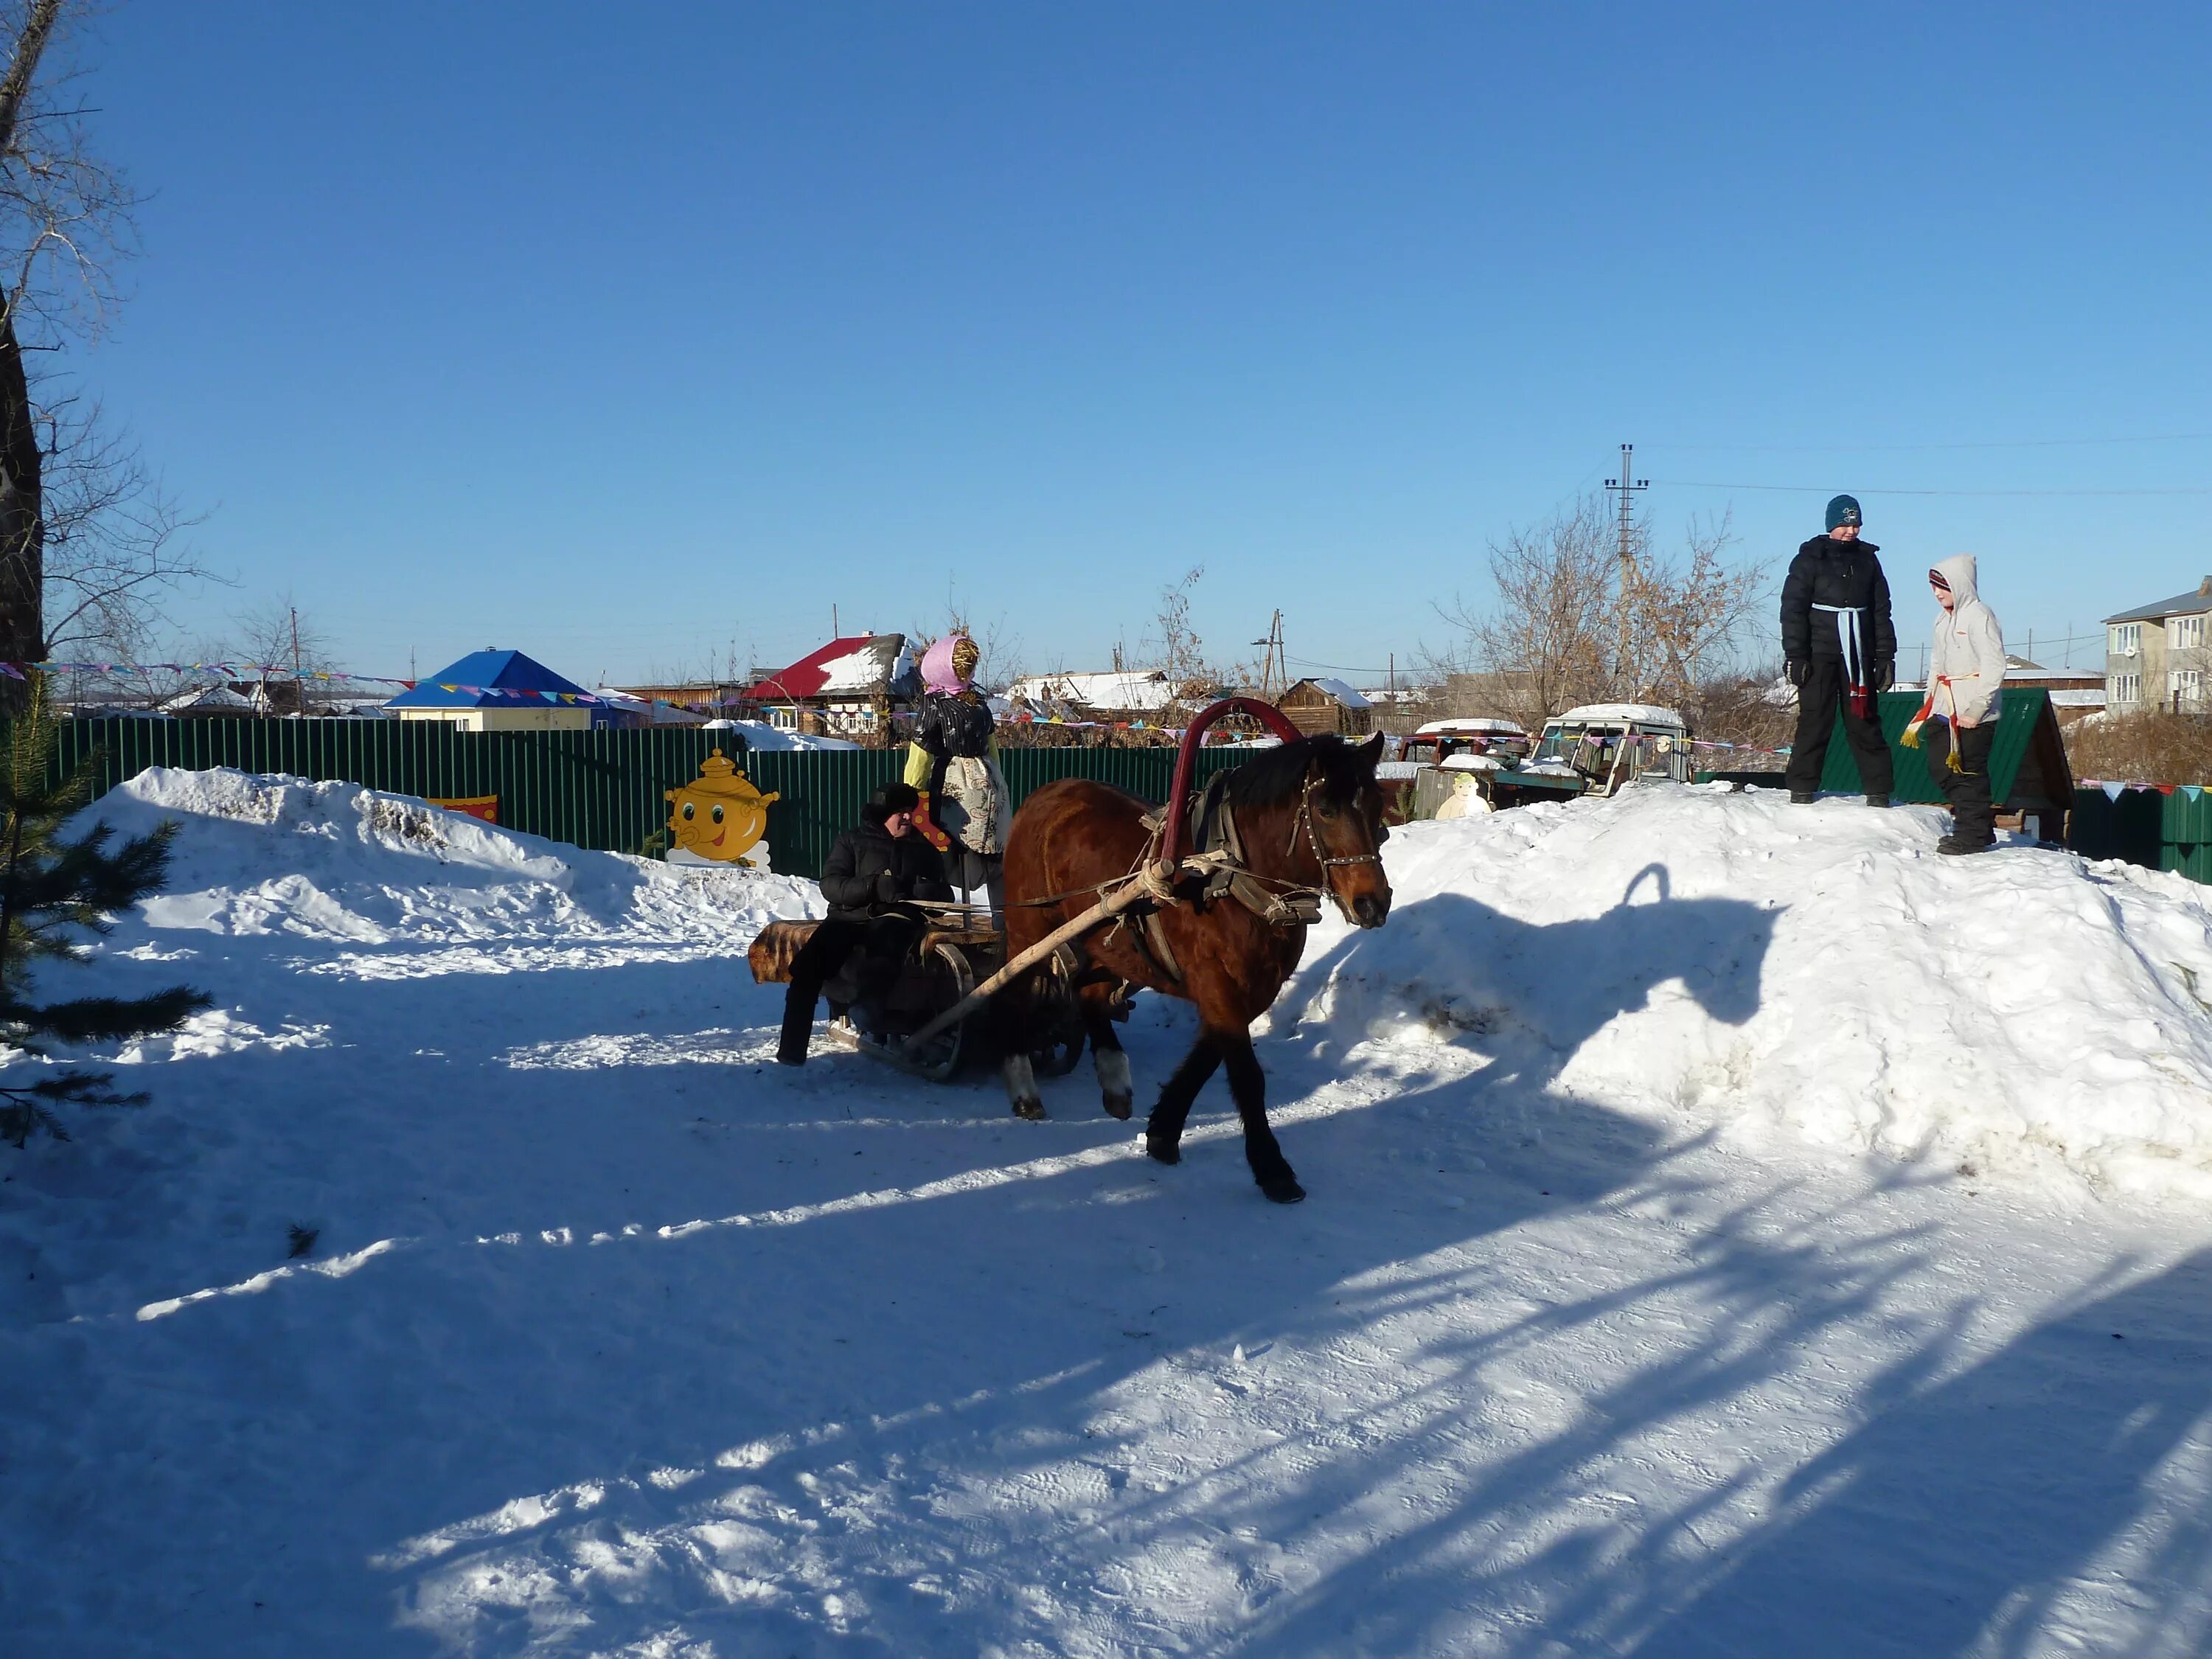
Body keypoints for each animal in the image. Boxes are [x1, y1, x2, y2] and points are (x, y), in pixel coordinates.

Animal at [995, 734, 1389, 1203]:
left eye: (1377, 807)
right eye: (1326, 809)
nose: (1373, 903)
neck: (1229, 879)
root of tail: (1042, 794)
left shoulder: (1255, 988)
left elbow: (1208, 1055)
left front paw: (1163, 1131)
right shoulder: (1218, 982)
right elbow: (1246, 1074)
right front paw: (1272, 1168)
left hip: (1107, 938)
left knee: (1090, 996)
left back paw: (1113, 1078)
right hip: (1030, 929)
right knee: (1014, 992)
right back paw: (1024, 1089)